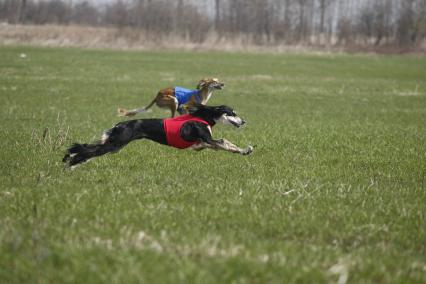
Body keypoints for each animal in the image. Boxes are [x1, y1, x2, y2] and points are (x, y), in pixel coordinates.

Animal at [63, 104, 253, 166]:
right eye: (232, 113)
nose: (244, 121)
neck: (203, 116)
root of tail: (119, 124)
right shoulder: (208, 139)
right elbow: (225, 143)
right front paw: (245, 150)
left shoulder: (201, 144)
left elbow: (220, 144)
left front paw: (246, 150)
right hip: (115, 143)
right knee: (88, 151)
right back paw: (71, 164)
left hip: (115, 144)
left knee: (87, 149)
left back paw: (70, 159)